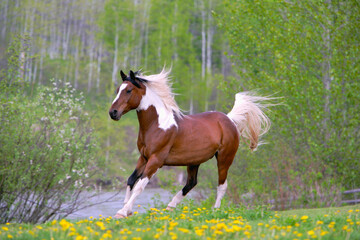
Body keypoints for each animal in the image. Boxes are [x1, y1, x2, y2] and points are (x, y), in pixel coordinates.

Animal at [108, 69, 272, 218]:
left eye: (129, 90)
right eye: (117, 90)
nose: (113, 113)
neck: (157, 124)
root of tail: (229, 120)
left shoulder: (156, 160)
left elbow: (140, 185)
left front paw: (122, 212)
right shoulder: (143, 157)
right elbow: (131, 180)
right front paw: (126, 210)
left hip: (224, 158)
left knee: (222, 185)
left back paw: (215, 211)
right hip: (194, 161)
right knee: (191, 183)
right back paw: (170, 207)